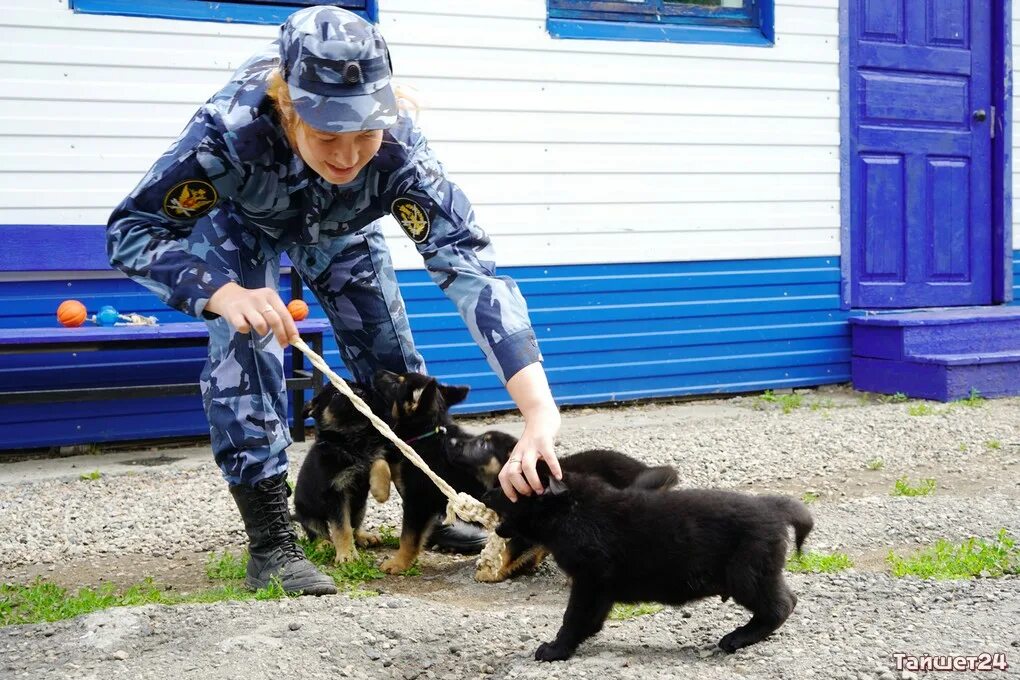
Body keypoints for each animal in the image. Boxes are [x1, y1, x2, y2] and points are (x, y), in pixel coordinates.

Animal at [295, 383, 393, 562]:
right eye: (336, 394)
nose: (361, 393)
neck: (352, 441)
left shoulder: (373, 456)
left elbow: (380, 462)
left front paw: (381, 491)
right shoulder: (335, 493)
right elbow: (342, 528)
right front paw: (347, 555)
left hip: (360, 507)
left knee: (356, 526)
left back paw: (364, 537)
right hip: (308, 514)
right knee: (318, 533)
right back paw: (324, 545)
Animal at [483, 464, 811, 660]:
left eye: (511, 488)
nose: (486, 492)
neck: (572, 512)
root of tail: (773, 507)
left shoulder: (588, 581)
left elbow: (572, 618)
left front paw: (555, 649)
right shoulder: (598, 587)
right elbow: (590, 618)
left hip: (746, 575)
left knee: (780, 606)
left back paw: (738, 638)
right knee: (786, 600)